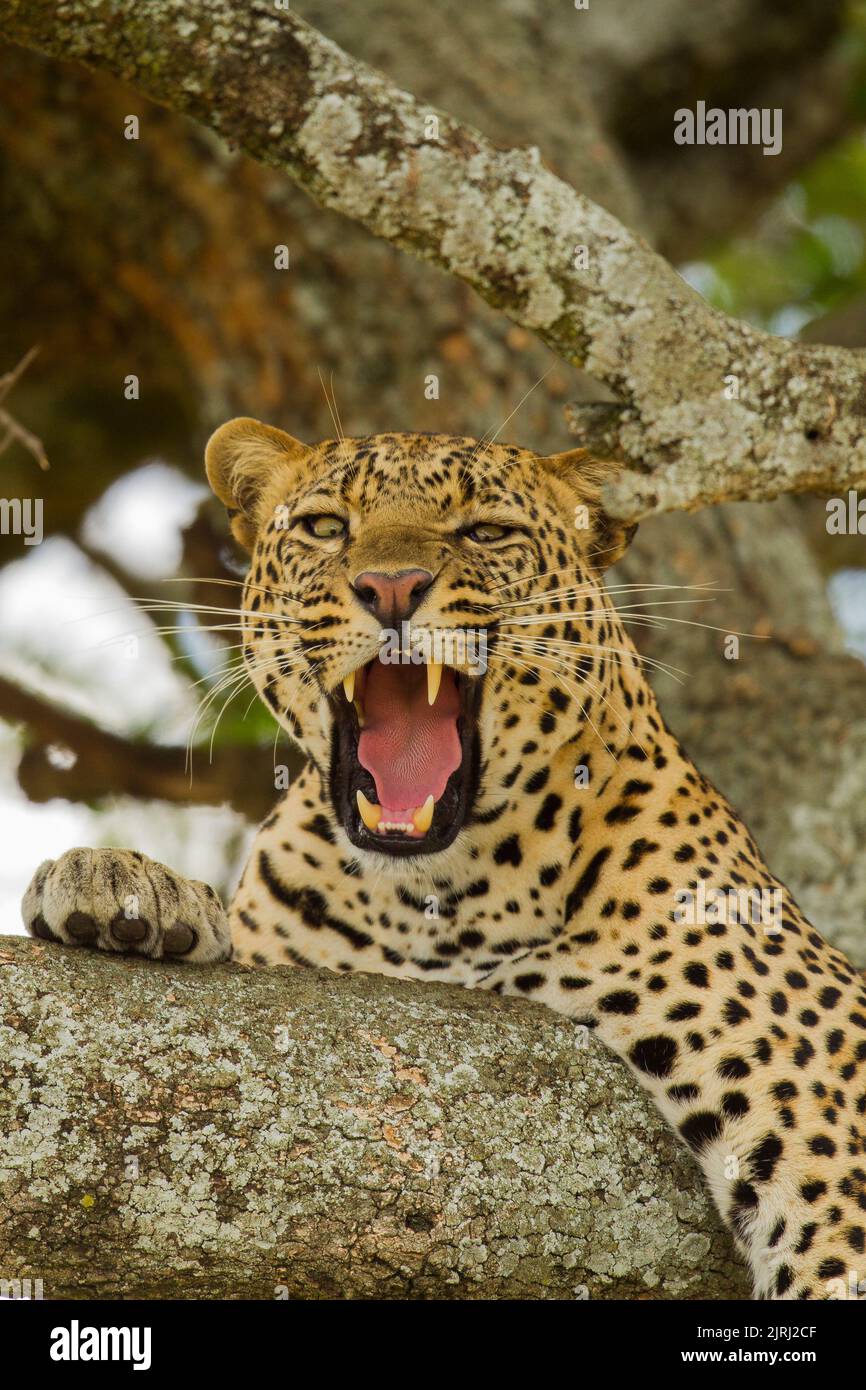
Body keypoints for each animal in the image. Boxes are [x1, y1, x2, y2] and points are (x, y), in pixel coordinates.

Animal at [22, 418, 866, 1301]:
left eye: (485, 532)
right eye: (325, 526)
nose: (391, 588)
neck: (431, 896)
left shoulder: (827, 1089)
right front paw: (122, 889)